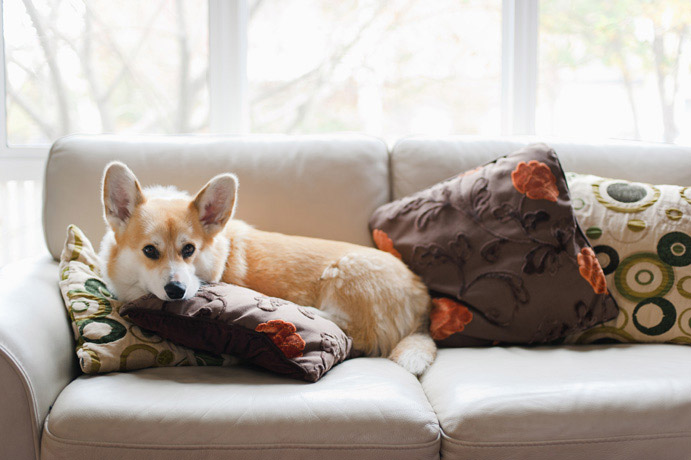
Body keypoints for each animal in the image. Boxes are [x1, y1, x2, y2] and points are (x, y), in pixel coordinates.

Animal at [99, 161, 436, 375]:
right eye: (150, 251)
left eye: (189, 249)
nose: (176, 290)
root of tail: (423, 302)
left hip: (345, 270)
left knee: (352, 331)